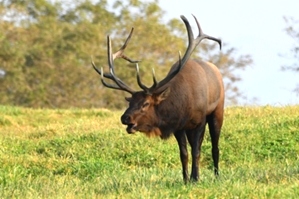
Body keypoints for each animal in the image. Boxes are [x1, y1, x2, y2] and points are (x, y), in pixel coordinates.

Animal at [92, 14, 224, 182]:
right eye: (130, 102)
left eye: (146, 103)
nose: (125, 118)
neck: (183, 104)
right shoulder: (178, 127)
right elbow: (184, 154)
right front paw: (186, 180)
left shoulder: (199, 122)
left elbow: (196, 151)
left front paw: (196, 179)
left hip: (218, 111)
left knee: (215, 146)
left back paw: (217, 175)